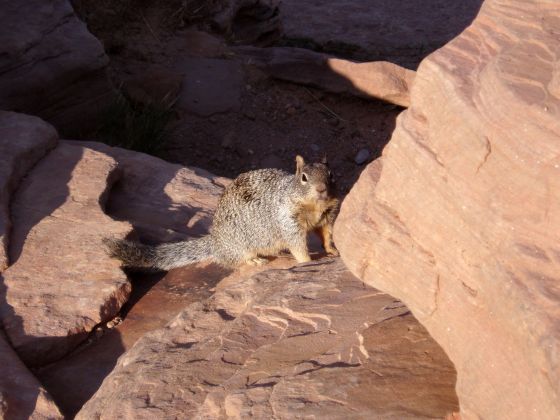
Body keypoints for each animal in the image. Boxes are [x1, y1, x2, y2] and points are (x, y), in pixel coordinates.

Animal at [105, 154, 342, 270]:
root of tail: (216, 241)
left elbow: (327, 235)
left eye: (331, 174)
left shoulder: (327, 217)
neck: (314, 206)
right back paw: (255, 261)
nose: (321, 189)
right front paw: (307, 262)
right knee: (234, 260)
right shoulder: (288, 221)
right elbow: (298, 245)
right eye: (303, 177)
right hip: (240, 245)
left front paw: (333, 251)